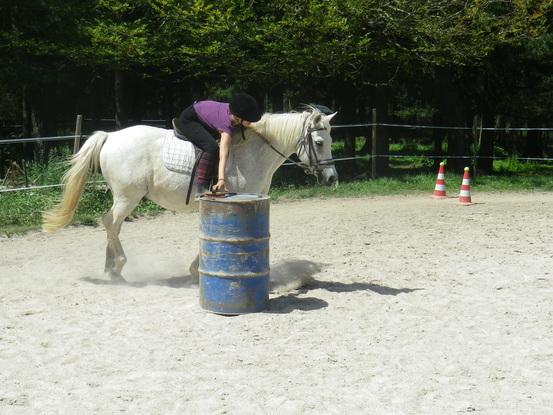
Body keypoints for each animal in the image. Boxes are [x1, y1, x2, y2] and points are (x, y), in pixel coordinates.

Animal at [42, 109, 336, 282]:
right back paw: (117, 268)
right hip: (128, 197)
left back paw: (109, 266)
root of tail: (110, 136)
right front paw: (197, 269)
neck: (252, 152)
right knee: (110, 222)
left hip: (123, 198)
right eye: (319, 142)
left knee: (112, 225)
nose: (332, 177)